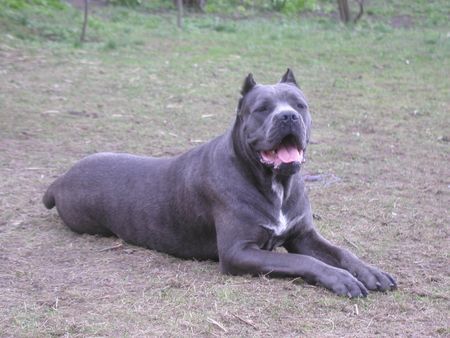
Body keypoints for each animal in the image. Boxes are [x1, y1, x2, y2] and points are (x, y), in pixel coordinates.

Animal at [43, 70, 398, 298]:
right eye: (262, 109)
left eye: (299, 105)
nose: (287, 117)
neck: (274, 183)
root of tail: (60, 178)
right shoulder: (238, 251)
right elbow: (301, 260)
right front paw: (341, 280)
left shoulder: (303, 235)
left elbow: (341, 251)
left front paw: (370, 271)